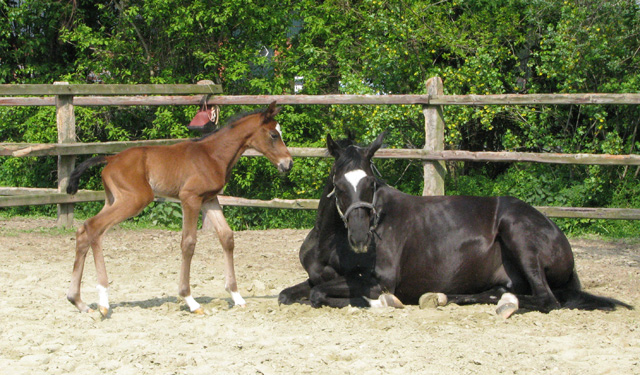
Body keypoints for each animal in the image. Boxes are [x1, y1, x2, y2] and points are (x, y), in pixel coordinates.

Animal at [65, 101, 296, 316]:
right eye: (274, 134)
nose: (288, 164)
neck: (213, 155)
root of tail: (110, 159)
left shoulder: (210, 200)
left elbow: (227, 237)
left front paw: (236, 296)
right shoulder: (190, 198)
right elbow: (188, 243)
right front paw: (190, 300)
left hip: (113, 200)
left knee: (83, 231)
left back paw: (78, 301)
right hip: (135, 200)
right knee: (94, 227)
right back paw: (103, 301)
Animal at [280, 134, 632, 318]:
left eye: (371, 183)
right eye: (339, 185)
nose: (360, 237)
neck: (330, 242)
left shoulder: (379, 280)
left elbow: (322, 295)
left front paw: (384, 302)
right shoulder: (316, 276)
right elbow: (290, 293)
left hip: (518, 232)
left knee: (547, 300)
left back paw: (507, 305)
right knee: (499, 292)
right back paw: (449, 297)